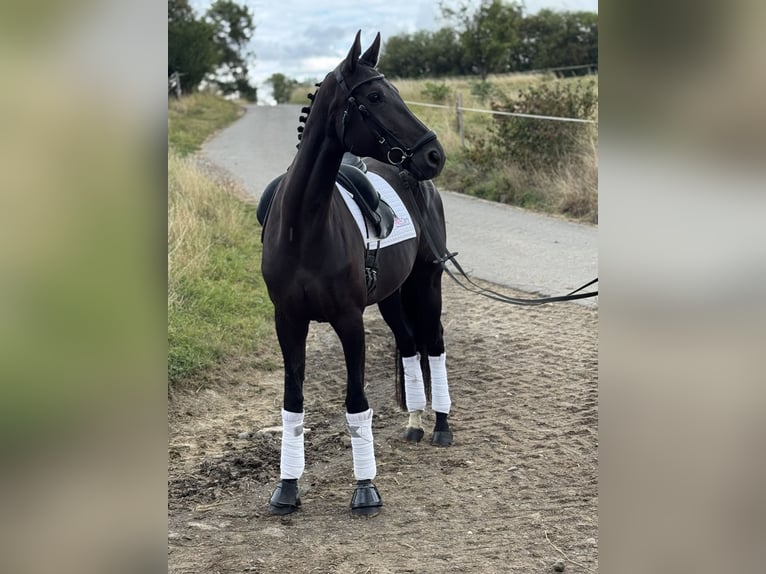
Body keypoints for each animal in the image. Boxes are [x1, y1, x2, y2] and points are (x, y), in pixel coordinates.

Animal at [260, 31, 453, 517]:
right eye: (376, 96)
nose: (433, 154)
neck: (305, 226)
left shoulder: (349, 320)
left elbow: (356, 401)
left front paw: (365, 487)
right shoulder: (288, 322)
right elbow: (293, 402)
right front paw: (286, 487)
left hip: (426, 283)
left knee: (434, 344)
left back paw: (441, 425)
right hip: (391, 296)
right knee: (409, 345)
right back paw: (415, 422)